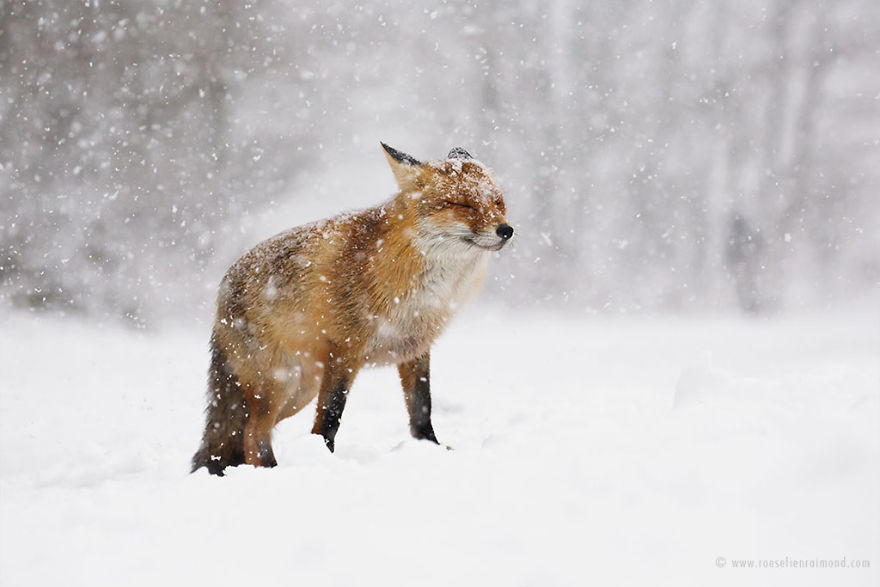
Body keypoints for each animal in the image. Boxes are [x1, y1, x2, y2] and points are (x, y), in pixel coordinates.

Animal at [191, 143, 514, 475]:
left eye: (498, 202)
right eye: (463, 205)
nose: (506, 230)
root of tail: (222, 290)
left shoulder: (414, 347)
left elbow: (422, 408)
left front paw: (430, 448)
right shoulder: (344, 351)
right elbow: (330, 417)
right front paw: (326, 459)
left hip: (298, 391)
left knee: (245, 434)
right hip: (280, 384)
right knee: (254, 433)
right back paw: (272, 470)